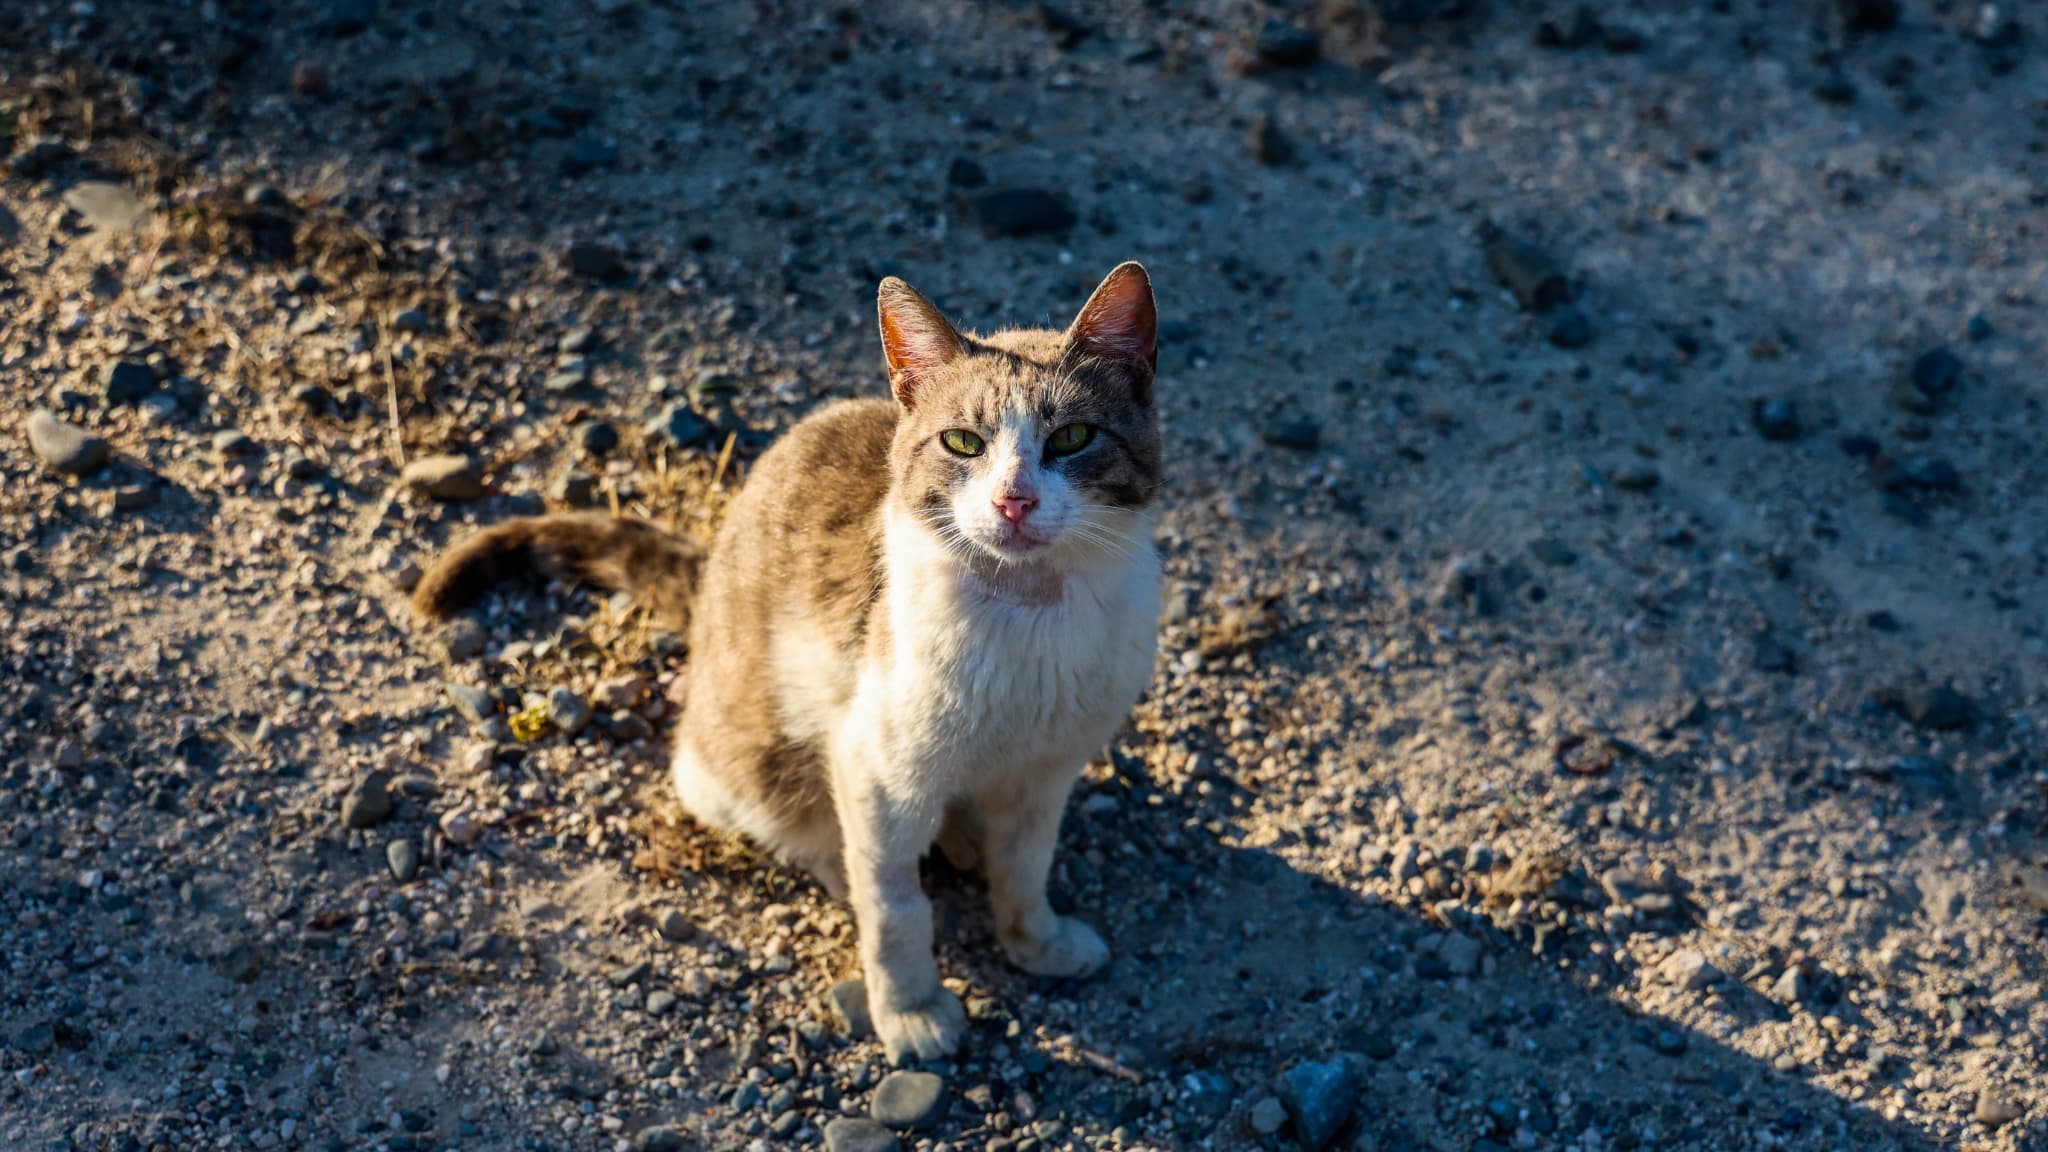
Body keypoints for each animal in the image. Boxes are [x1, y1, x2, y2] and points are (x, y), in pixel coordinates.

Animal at [415, 260, 1163, 1057]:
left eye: (1073, 437)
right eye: (962, 443)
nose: (1014, 500)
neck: (1029, 617)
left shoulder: (1046, 771)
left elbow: (1024, 869)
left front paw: (1035, 943)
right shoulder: (876, 770)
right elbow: (895, 907)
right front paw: (912, 1009)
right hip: (742, 763)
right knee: (804, 824)